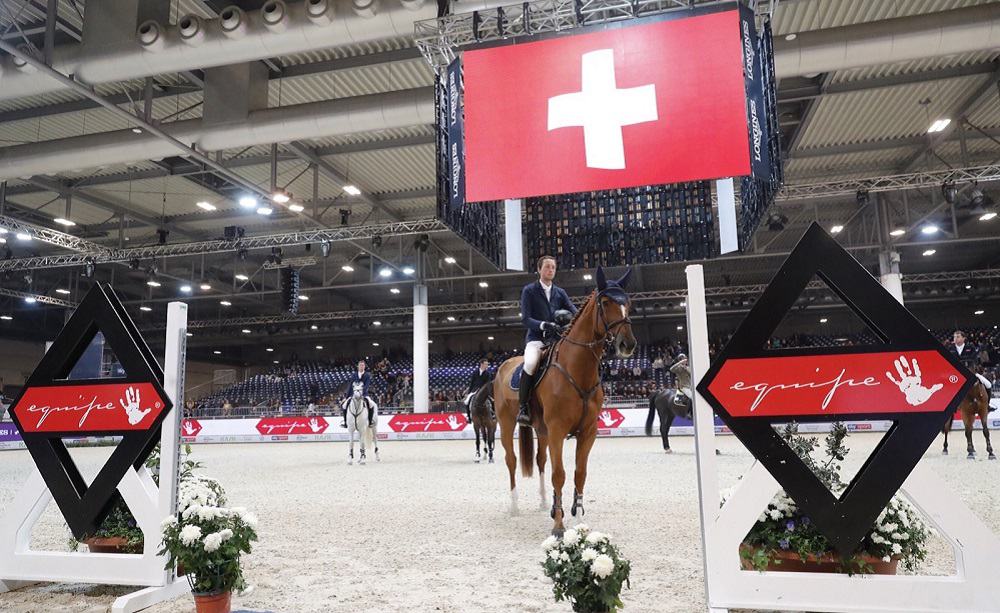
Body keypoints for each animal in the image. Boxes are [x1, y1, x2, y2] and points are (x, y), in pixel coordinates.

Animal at [496, 266, 636, 532]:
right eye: (605, 303)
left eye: (628, 303)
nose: (628, 344)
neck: (578, 369)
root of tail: (504, 365)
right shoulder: (558, 429)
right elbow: (559, 474)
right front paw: (559, 526)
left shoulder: (588, 431)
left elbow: (579, 473)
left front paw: (578, 520)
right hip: (507, 424)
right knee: (511, 460)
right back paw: (514, 506)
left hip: (541, 430)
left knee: (540, 460)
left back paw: (543, 503)